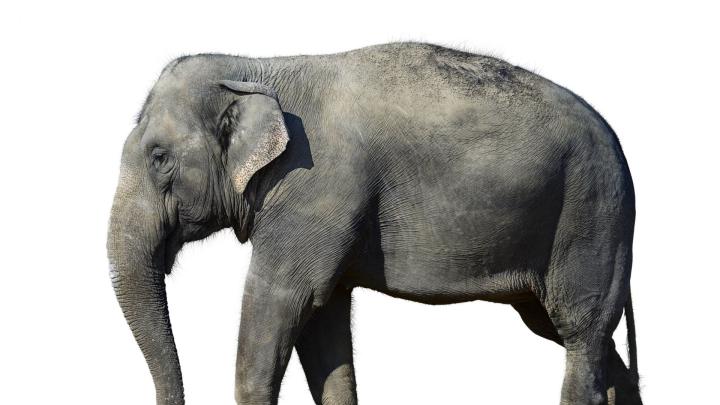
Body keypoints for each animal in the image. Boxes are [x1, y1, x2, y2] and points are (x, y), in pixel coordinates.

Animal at [107, 42, 640, 405]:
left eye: (159, 158)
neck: (257, 67)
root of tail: (616, 140)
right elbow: (324, 323)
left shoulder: (315, 187)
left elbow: (283, 299)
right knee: (581, 336)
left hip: (591, 214)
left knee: (579, 329)